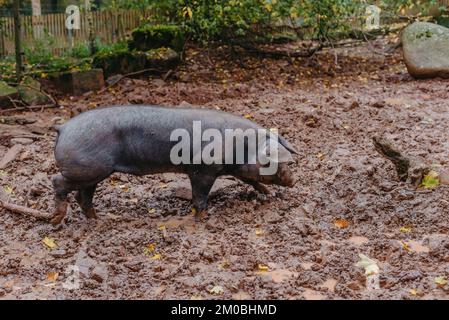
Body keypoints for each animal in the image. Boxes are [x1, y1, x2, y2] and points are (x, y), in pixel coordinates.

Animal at [51, 105, 298, 225]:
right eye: (274, 161)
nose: (294, 180)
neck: (242, 148)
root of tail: (63, 128)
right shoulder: (201, 170)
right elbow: (199, 197)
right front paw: (200, 220)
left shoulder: (235, 169)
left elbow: (250, 180)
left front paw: (267, 194)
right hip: (88, 168)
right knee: (57, 181)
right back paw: (57, 220)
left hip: (91, 173)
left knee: (82, 197)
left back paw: (98, 221)